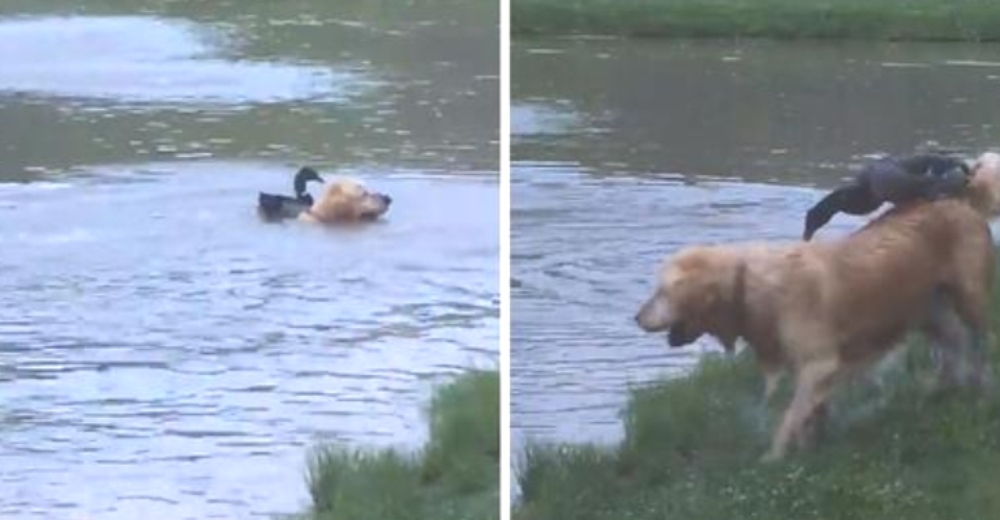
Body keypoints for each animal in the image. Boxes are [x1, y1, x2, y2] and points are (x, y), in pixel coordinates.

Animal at [636, 197, 996, 462]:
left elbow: (790, 417)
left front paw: (773, 458)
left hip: (969, 298)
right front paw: (812, 446)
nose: (636, 317)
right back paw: (946, 388)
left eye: (661, 292)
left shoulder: (819, 362)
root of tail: (959, 202)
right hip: (930, 313)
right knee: (956, 346)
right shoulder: (806, 366)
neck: (751, 286)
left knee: (980, 343)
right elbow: (810, 412)